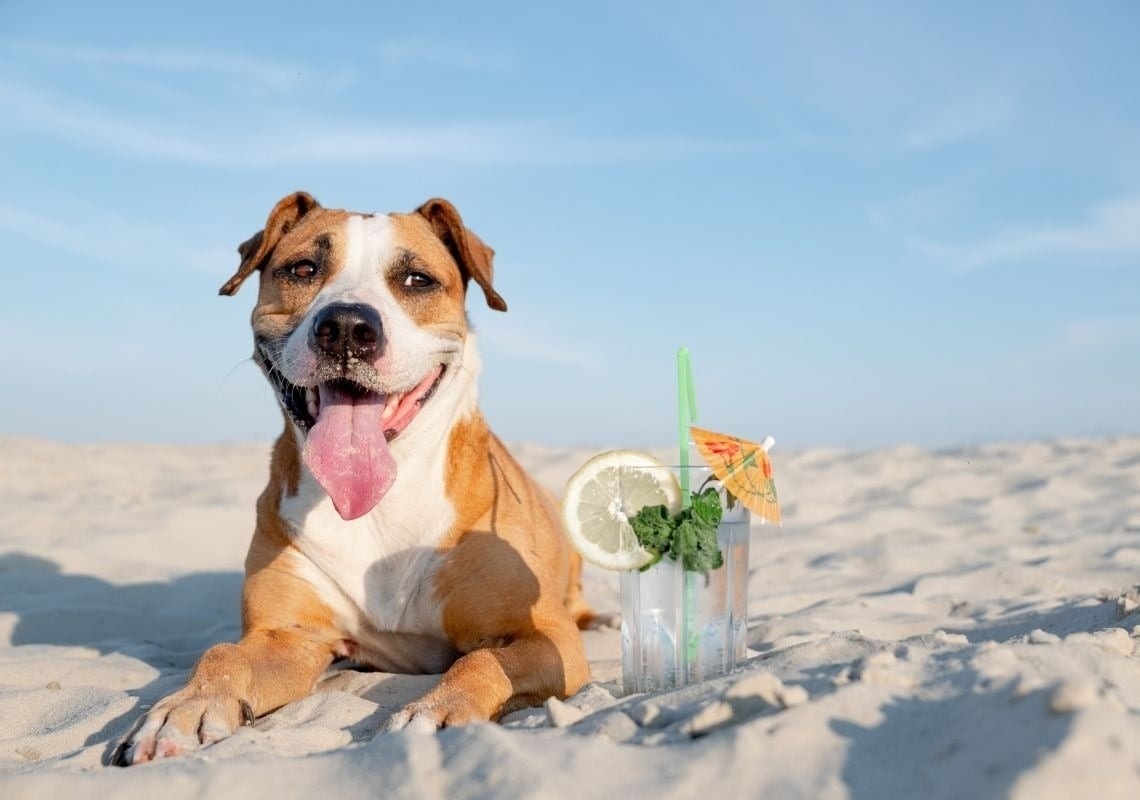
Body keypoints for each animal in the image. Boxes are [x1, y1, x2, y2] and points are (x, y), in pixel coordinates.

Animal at [116, 192, 597, 765]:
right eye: (303, 269)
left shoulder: (545, 635)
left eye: (416, 280)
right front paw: (184, 708)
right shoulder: (288, 635)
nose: (346, 327)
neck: (382, 500)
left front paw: (438, 711)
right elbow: (223, 653)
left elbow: (480, 660)